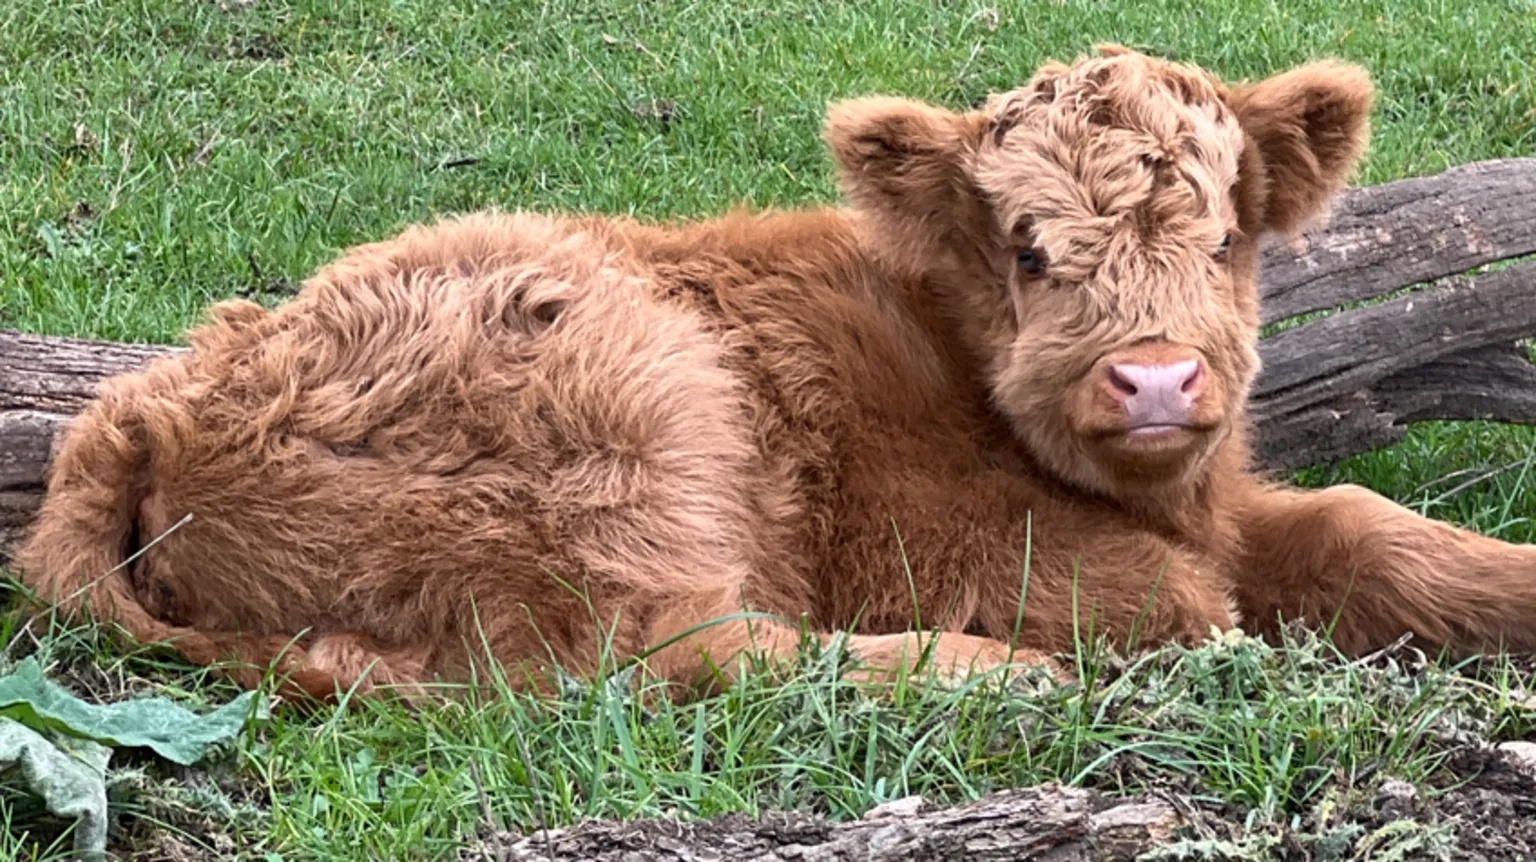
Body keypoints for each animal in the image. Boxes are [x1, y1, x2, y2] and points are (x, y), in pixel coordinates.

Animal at [16, 45, 1536, 704]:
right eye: (1030, 248)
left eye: (1224, 238)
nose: (1155, 382)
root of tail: (148, 401)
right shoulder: (933, 541)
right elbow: (1183, 598)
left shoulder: (1233, 496)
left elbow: (1364, 524)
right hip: (633, 431)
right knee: (654, 653)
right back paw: (984, 674)